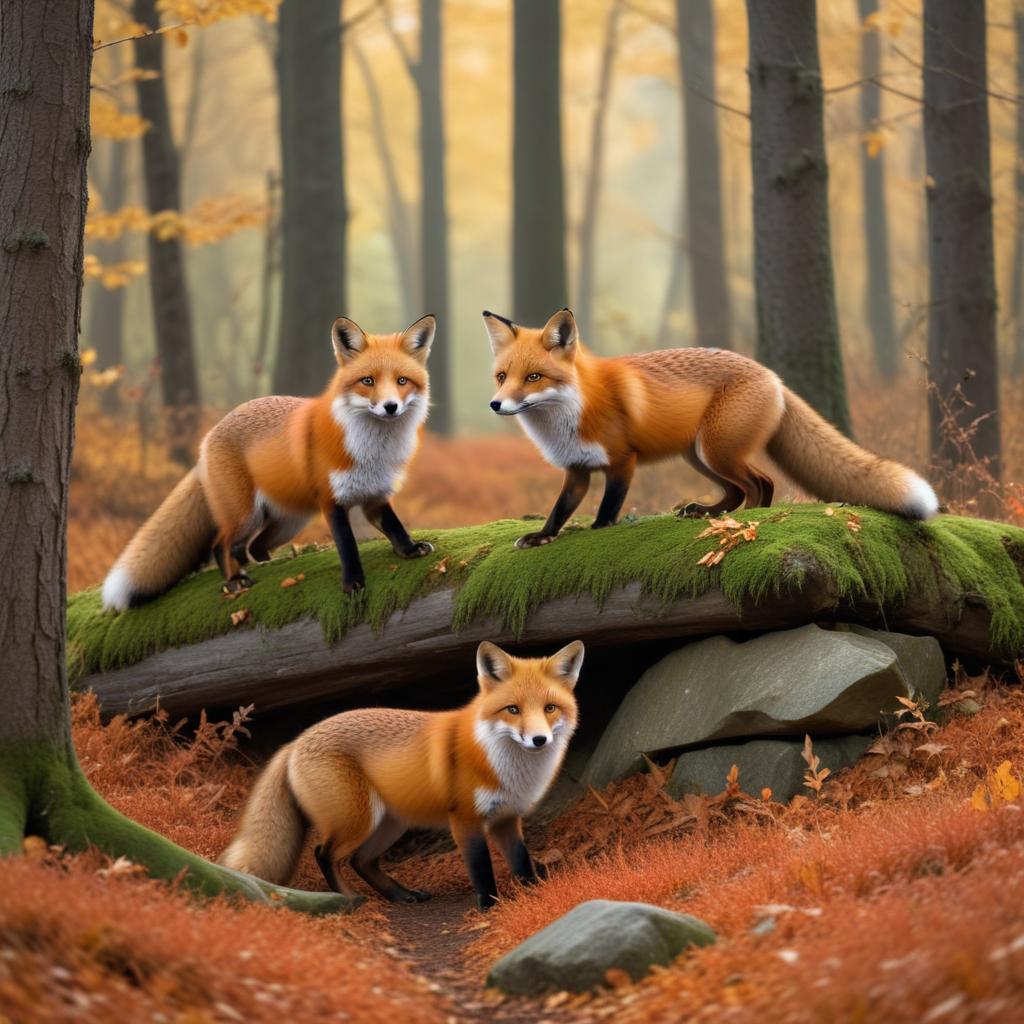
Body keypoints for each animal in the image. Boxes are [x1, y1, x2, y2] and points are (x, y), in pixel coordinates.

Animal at [101, 315, 437, 610]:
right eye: (368, 381)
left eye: (402, 381)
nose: (390, 407)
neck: (373, 452)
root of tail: (208, 438)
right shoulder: (332, 503)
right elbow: (348, 548)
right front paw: (353, 583)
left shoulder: (375, 496)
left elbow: (395, 526)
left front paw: (409, 550)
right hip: (245, 515)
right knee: (221, 544)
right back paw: (235, 579)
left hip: (288, 522)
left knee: (252, 547)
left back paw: (272, 565)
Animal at [218, 640, 584, 910]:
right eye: (513, 710)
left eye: (550, 709)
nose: (539, 740)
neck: (504, 765)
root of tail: (296, 740)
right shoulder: (465, 819)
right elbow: (481, 870)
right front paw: (489, 907)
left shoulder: (506, 818)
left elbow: (522, 862)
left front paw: (535, 896)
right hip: (356, 820)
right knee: (324, 854)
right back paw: (348, 899)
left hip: (389, 824)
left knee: (361, 861)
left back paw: (400, 895)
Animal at [483, 307, 939, 548]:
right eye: (502, 377)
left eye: (535, 377)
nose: (496, 404)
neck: (571, 413)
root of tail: (774, 377)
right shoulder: (576, 469)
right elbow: (560, 509)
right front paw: (541, 536)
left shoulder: (623, 462)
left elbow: (609, 508)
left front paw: (599, 531)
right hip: (699, 456)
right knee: (737, 490)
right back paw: (707, 513)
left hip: (716, 450)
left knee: (761, 484)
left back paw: (743, 523)